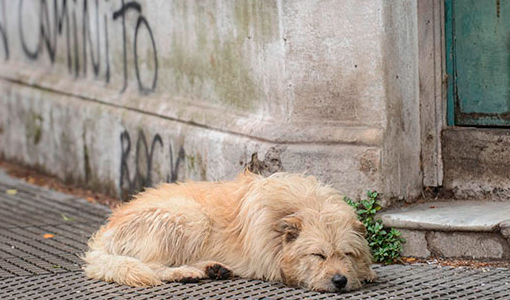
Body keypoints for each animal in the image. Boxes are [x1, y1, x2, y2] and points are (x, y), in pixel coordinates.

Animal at [83, 172, 376, 292]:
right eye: (318, 255)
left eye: (347, 254)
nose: (340, 281)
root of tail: (107, 229)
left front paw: (364, 272)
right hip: (193, 217)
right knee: (152, 265)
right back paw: (183, 273)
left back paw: (212, 268)